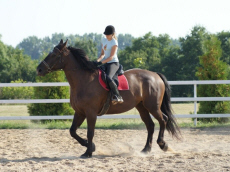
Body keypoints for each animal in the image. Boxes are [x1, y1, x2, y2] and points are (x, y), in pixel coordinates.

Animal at [36, 39, 181, 158]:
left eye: (54, 55)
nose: (39, 69)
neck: (84, 80)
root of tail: (155, 75)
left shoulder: (91, 113)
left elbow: (90, 132)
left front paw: (88, 152)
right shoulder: (80, 112)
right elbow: (72, 131)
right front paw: (90, 146)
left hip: (152, 106)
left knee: (163, 120)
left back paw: (163, 144)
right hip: (142, 107)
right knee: (150, 125)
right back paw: (146, 149)